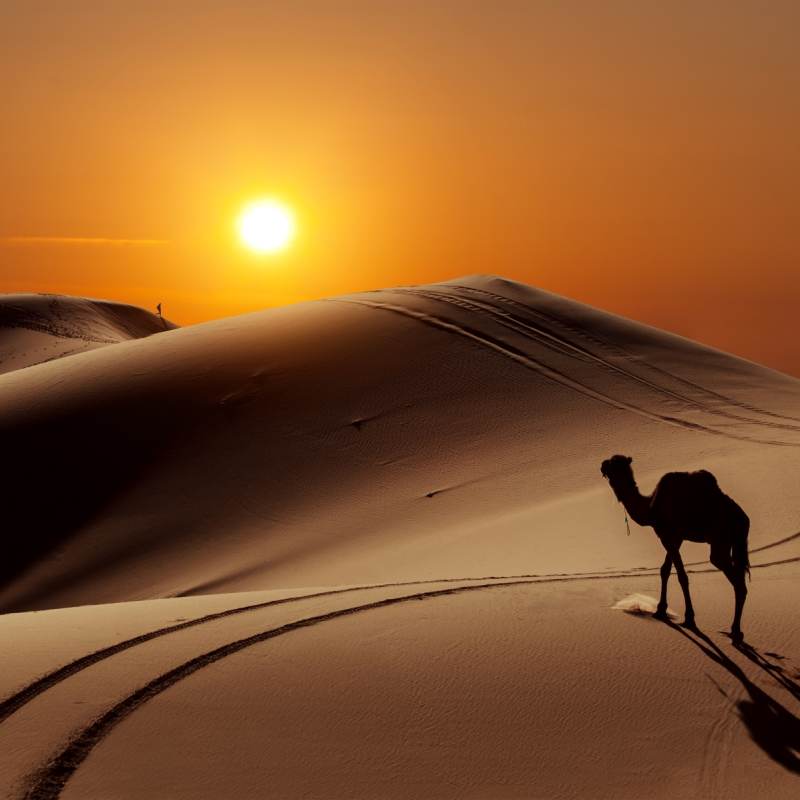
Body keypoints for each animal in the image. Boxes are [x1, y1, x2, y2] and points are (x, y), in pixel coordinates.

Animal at [600, 455, 750, 642]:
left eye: (612, 465)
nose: (602, 466)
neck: (651, 507)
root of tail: (744, 521)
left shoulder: (668, 535)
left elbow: (681, 575)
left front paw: (689, 618)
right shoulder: (675, 538)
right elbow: (665, 570)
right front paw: (660, 609)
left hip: (720, 541)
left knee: (737, 581)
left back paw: (735, 630)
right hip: (735, 543)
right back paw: (737, 631)